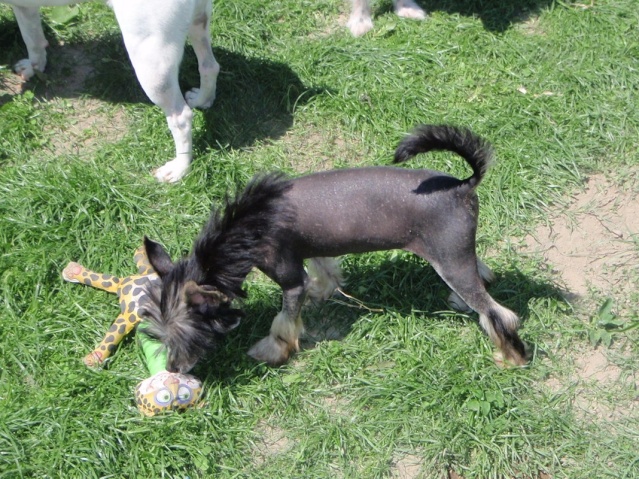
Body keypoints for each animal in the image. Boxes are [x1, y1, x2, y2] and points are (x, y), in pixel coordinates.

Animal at [4, 0, 220, 183]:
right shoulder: (25, 7)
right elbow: (32, 39)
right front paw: (34, 67)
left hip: (151, 60)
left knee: (181, 118)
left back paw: (180, 168)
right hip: (198, 21)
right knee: (209, 66)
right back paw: (202, 99)